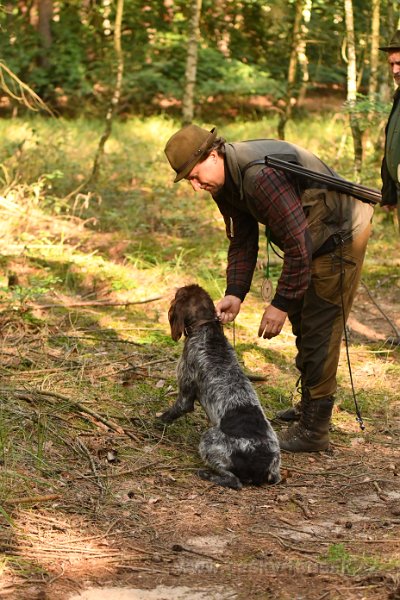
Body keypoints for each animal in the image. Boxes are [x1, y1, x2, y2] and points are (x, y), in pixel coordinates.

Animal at [158, 284, 280, 490]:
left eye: (176, 295)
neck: (206, 328)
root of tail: (264, 465)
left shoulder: (185, 395)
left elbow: (169, 414)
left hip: (209, 438)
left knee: (234, 481)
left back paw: (207, 474)